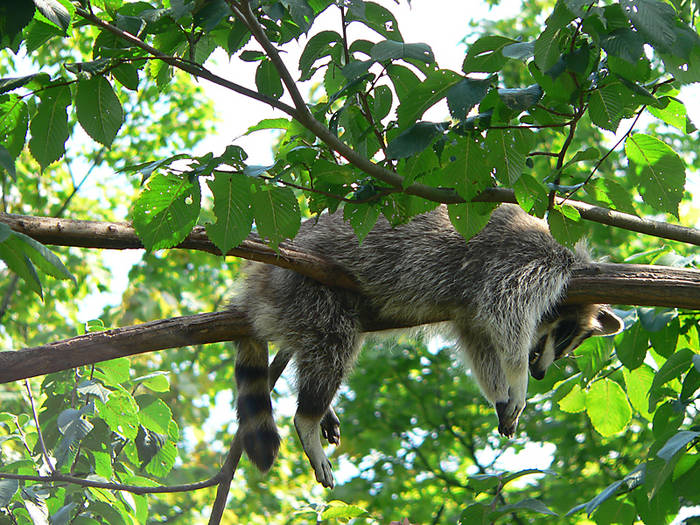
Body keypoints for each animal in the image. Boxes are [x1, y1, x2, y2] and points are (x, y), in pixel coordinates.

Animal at [231, 202, 624, 488]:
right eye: (563, 336)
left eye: (569, 346)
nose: (540, 373)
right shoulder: (522, 262)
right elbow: (505, 317)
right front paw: (517, 381)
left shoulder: (469, 309)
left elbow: (479, 341)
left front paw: (498, 391)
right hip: (309, 288)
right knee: (333, 345)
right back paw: (310, 417)